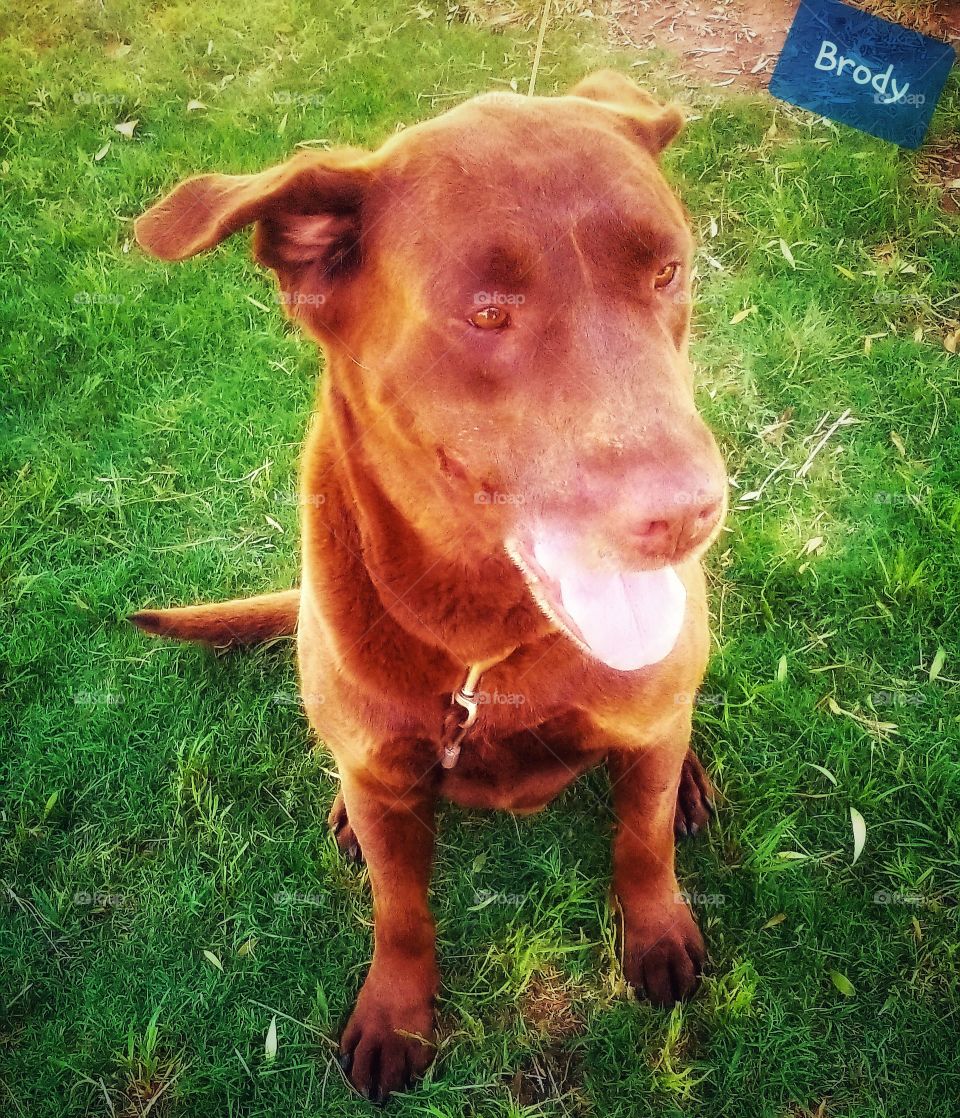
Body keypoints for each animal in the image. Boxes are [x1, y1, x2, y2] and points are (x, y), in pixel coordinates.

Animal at [129, 74, 728, 1104]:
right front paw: (396, 1015)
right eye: (486, 314)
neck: (485, 645)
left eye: (666, 273)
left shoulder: (643, 725)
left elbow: (641, 839)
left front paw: (656, 934)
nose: (690, 512)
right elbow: (400, 908)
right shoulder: (386, 779)